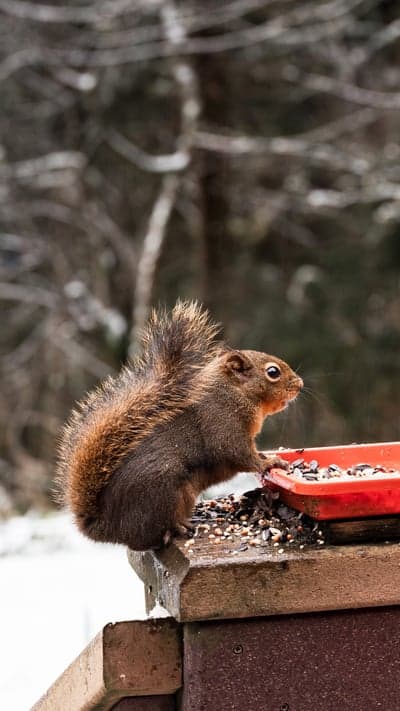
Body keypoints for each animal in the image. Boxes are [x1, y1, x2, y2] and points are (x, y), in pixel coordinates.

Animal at [56, 300, 303, 551]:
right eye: (272, 372)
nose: (300, 384)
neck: (234, 393)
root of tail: (105, 528)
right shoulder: (223, 424)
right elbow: (239, 454)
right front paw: (271, 462)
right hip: (163, 492)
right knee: (151, 537)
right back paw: (177, 528)